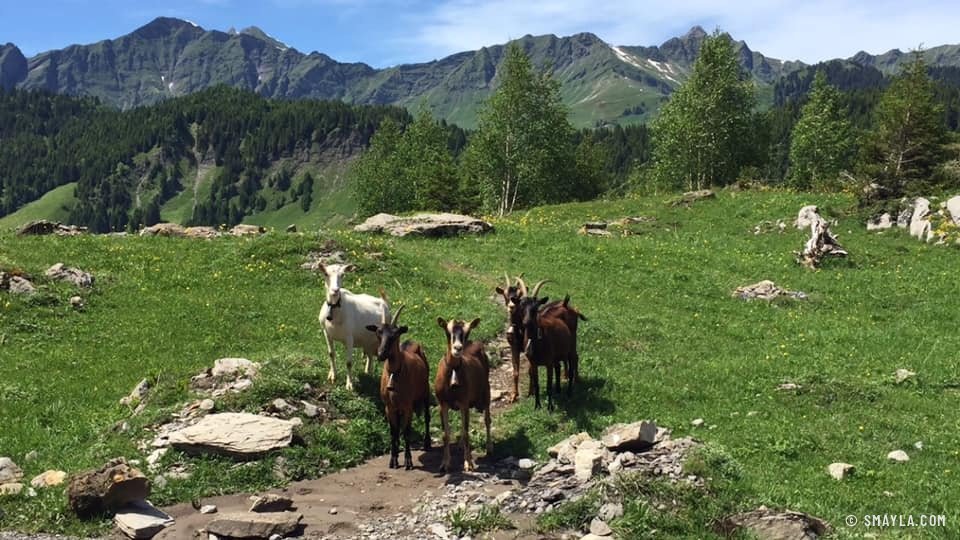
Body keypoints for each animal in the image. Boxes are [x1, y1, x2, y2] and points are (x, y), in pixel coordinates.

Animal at [365, 305, 431, 470]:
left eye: (395, 334)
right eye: (378, 332)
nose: (381, 354)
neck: (395, 374)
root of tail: (412, 343)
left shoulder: (408, 406)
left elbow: (407, 432)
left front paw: (408, 461)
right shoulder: (389, 407)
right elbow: (393, 432)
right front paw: (393, 459)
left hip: (425, 391)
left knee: (427, 417)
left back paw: (427, 443)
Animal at [435, 317, 491, 472]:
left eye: (467, 332)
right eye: (448, 332)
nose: (458, 348)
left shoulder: (464, 403)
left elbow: (466, 433)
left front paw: (468, 463)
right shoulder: (442, 404)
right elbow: (445, 435)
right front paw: (445, 463)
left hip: (486, 392)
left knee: (487, 420)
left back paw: (489, 448)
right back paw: (460, 446)